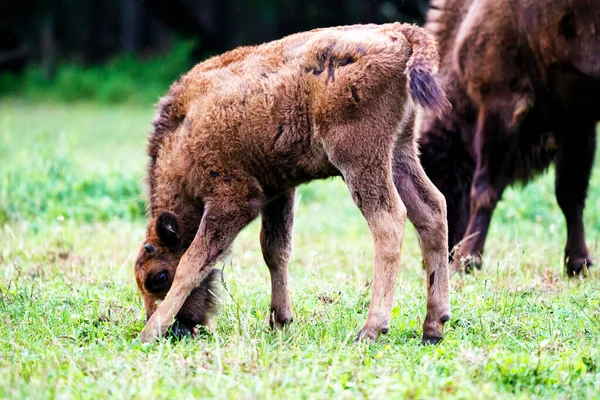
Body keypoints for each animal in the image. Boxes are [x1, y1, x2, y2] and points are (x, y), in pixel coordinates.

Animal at [132, 23, 450, 346]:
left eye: (158, 277)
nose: (179, 331)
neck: (183, 133)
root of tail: (398, 32)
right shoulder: (279, 192)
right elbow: (274, 250)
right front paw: (281, 321)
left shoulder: (232, 201)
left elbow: (193, 262)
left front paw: (149, 332)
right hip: (400, 152)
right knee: (432, 210)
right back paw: (433, 327)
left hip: (360, 160)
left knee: (389, 221)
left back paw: (371, 329)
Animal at [410, 0, 600, 276]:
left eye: (438, 181)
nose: (438, 257)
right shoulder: (576, 118)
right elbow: (570, 193)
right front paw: (578, 263)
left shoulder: (501, 104)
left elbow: (485, 189)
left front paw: (466, 261)